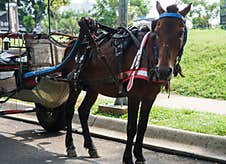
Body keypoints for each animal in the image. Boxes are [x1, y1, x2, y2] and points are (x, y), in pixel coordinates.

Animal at [61, 1, 191, 164]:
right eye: (156, 33)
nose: (163, 71)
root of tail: (71, 43)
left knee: (83, 111)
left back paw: (91, 147)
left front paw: (139, 156)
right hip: (74, 85)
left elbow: (142, 126)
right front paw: (128, 158)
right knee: (69, 110)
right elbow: (131, 127)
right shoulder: (134, 95)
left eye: (180, 33)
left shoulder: (150, 97)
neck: (148, 56)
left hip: (93, 88)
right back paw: (70, 145)